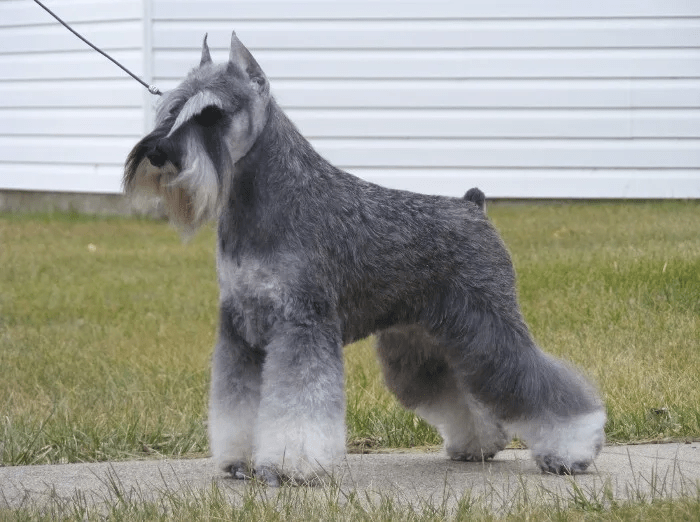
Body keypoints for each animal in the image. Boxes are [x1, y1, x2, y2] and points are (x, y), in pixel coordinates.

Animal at [126, 32, 608, 484]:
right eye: (171, 108)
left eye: (212, 113)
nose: (157, 152)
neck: (263, 200)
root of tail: (473, 206)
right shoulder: (240, 329)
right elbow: (237, 405)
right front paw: (238, 461)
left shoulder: (302, 322)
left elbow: (297, 406)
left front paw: (290, 466)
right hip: (426, 341)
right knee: (460, 389)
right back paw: (478, 444)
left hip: (490, 326)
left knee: (532, 380)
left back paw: (571, 450)